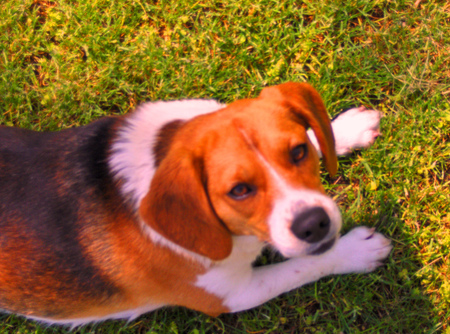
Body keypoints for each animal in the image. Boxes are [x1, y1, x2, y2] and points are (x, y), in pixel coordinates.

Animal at [0, 82, 390, 324]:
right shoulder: (232, 294)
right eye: (239, 190)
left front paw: (345, 129)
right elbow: (303, 266)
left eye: (298, 151)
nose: (314, 224)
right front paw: (355, 251)